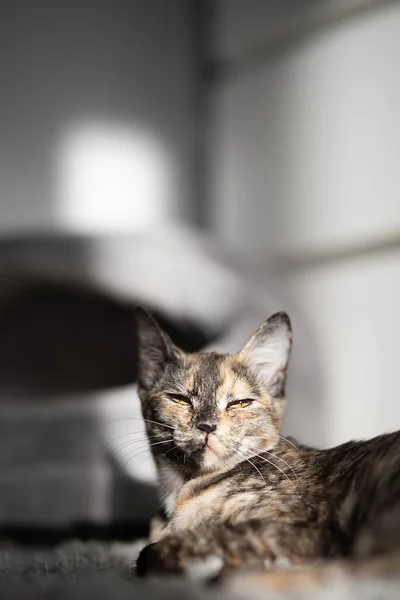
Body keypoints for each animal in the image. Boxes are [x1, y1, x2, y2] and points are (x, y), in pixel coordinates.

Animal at [134, 308, 400, 580]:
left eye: (239, 403)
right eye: (179, 399)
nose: (207, 426)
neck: (181, 488)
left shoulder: (296, 532)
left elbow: (167, 546)